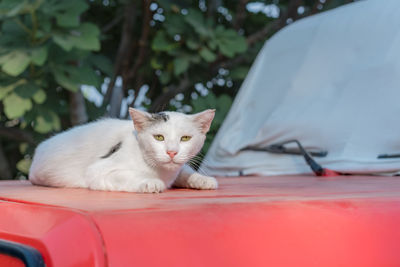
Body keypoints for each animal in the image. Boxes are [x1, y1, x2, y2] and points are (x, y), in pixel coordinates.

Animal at [28, 108, 219, 194]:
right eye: (159, 137)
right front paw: (150, 182)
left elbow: (185, 170)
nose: (171, 152)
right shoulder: (98, 171)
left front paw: (202, 179)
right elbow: (126, 174)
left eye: (185, 138)